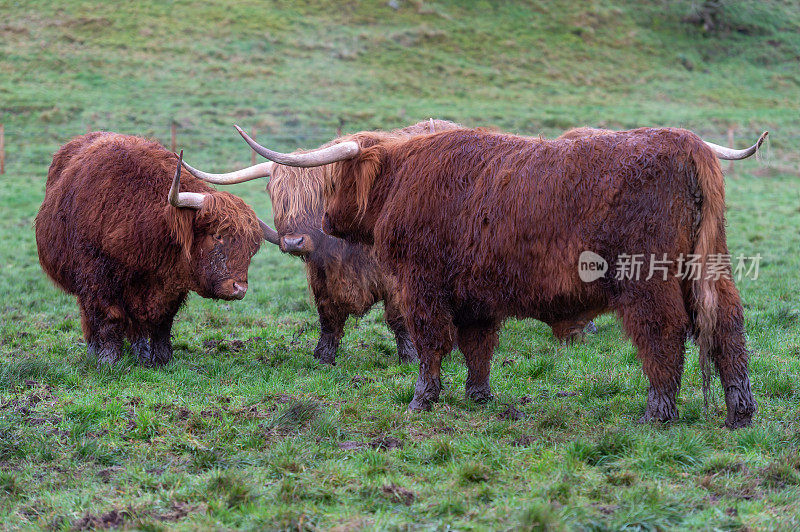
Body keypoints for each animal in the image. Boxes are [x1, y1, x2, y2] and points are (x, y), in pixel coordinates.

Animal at [35, 132, 276, 366]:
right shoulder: (97, 278)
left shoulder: (171, 285)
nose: (239, 288)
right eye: (217, 235)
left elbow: (162, 322)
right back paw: (95, 351)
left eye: (252, 247)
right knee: (89, 316)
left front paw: (162, 359)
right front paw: (109, 360)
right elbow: (109, 317)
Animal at [234, 125, 764, 428]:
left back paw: (657, 412)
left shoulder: (422, 285)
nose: (325, 223)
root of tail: (684, 143)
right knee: (727, 322)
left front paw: (421, 400)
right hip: (706, 266)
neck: (402, 179)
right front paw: (479, 396)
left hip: (647, 279)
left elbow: (431, 343)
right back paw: (740, 411)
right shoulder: (476, 295)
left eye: (333, 180)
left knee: (664, 331)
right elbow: (478, 346)